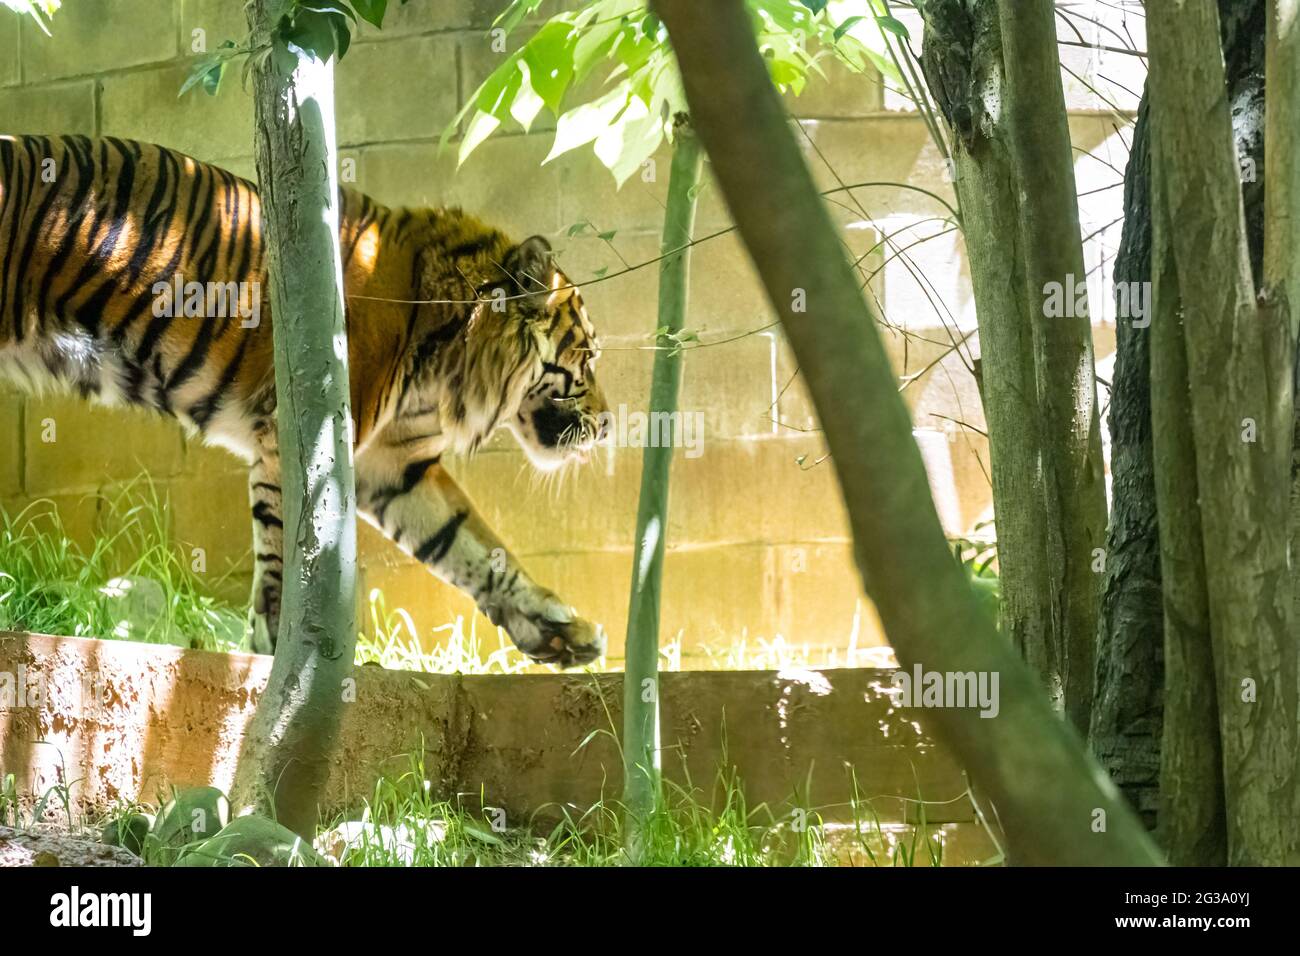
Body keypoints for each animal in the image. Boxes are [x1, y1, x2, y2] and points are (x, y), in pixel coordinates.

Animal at [0, 134, 608, 671]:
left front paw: (559, 630)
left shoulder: (395, 464)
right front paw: (281, 652)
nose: (606, 425)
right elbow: (289, 547)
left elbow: (466, 540)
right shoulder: (305, 431)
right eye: (589, 357)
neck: (446, 357)